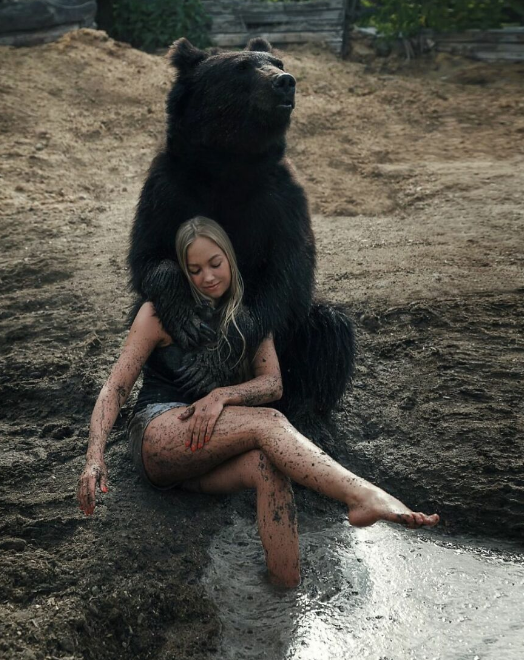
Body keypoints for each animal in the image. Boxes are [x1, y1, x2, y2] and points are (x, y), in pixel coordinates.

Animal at [128, 37, 355, 446]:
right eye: (241, 68)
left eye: (277, 61)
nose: (285, 82)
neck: (229, 164)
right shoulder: (166, 189)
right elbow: (149, 257)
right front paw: (187, 322)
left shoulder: (283, 200)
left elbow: (286, 276)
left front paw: (211, 362)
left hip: (294, 344)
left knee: (329, 331)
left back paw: (311, 419)